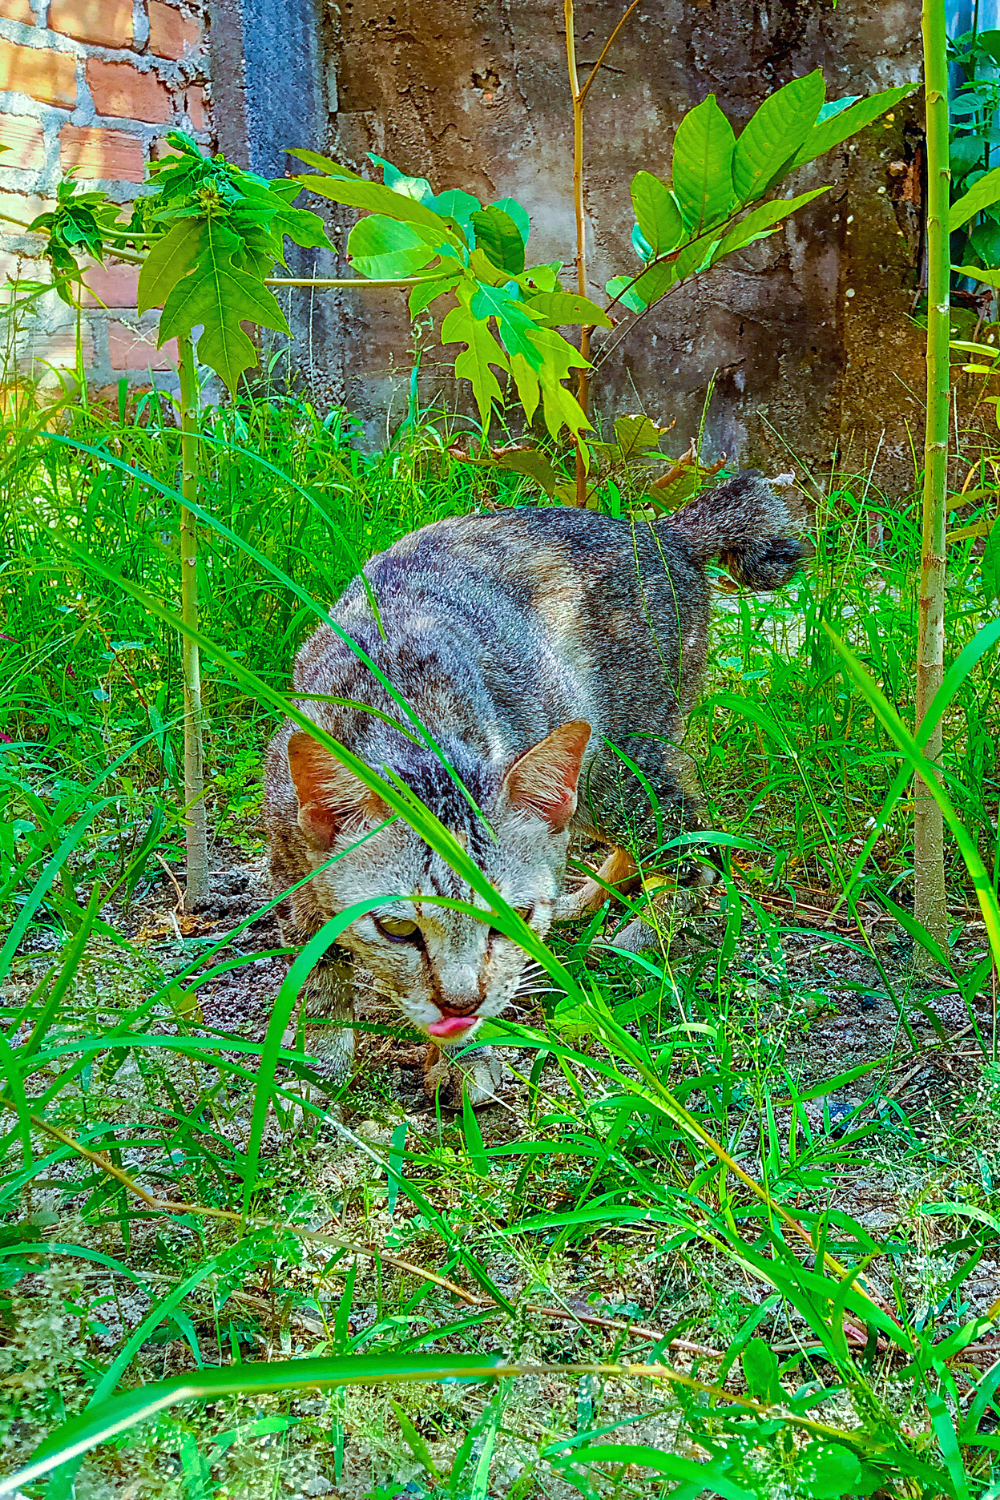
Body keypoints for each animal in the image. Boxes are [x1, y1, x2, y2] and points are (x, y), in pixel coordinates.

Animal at [262, 474, 809, 1110]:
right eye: (398, 930)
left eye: (509, 918)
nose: (461, 1004)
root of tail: (659, 529)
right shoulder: (287, 869)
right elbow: (318, 972)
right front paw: (317, 1066)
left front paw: (464, 1058)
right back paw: (586, 902)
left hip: (618, 766)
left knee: (699, 851)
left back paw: (634, 938)